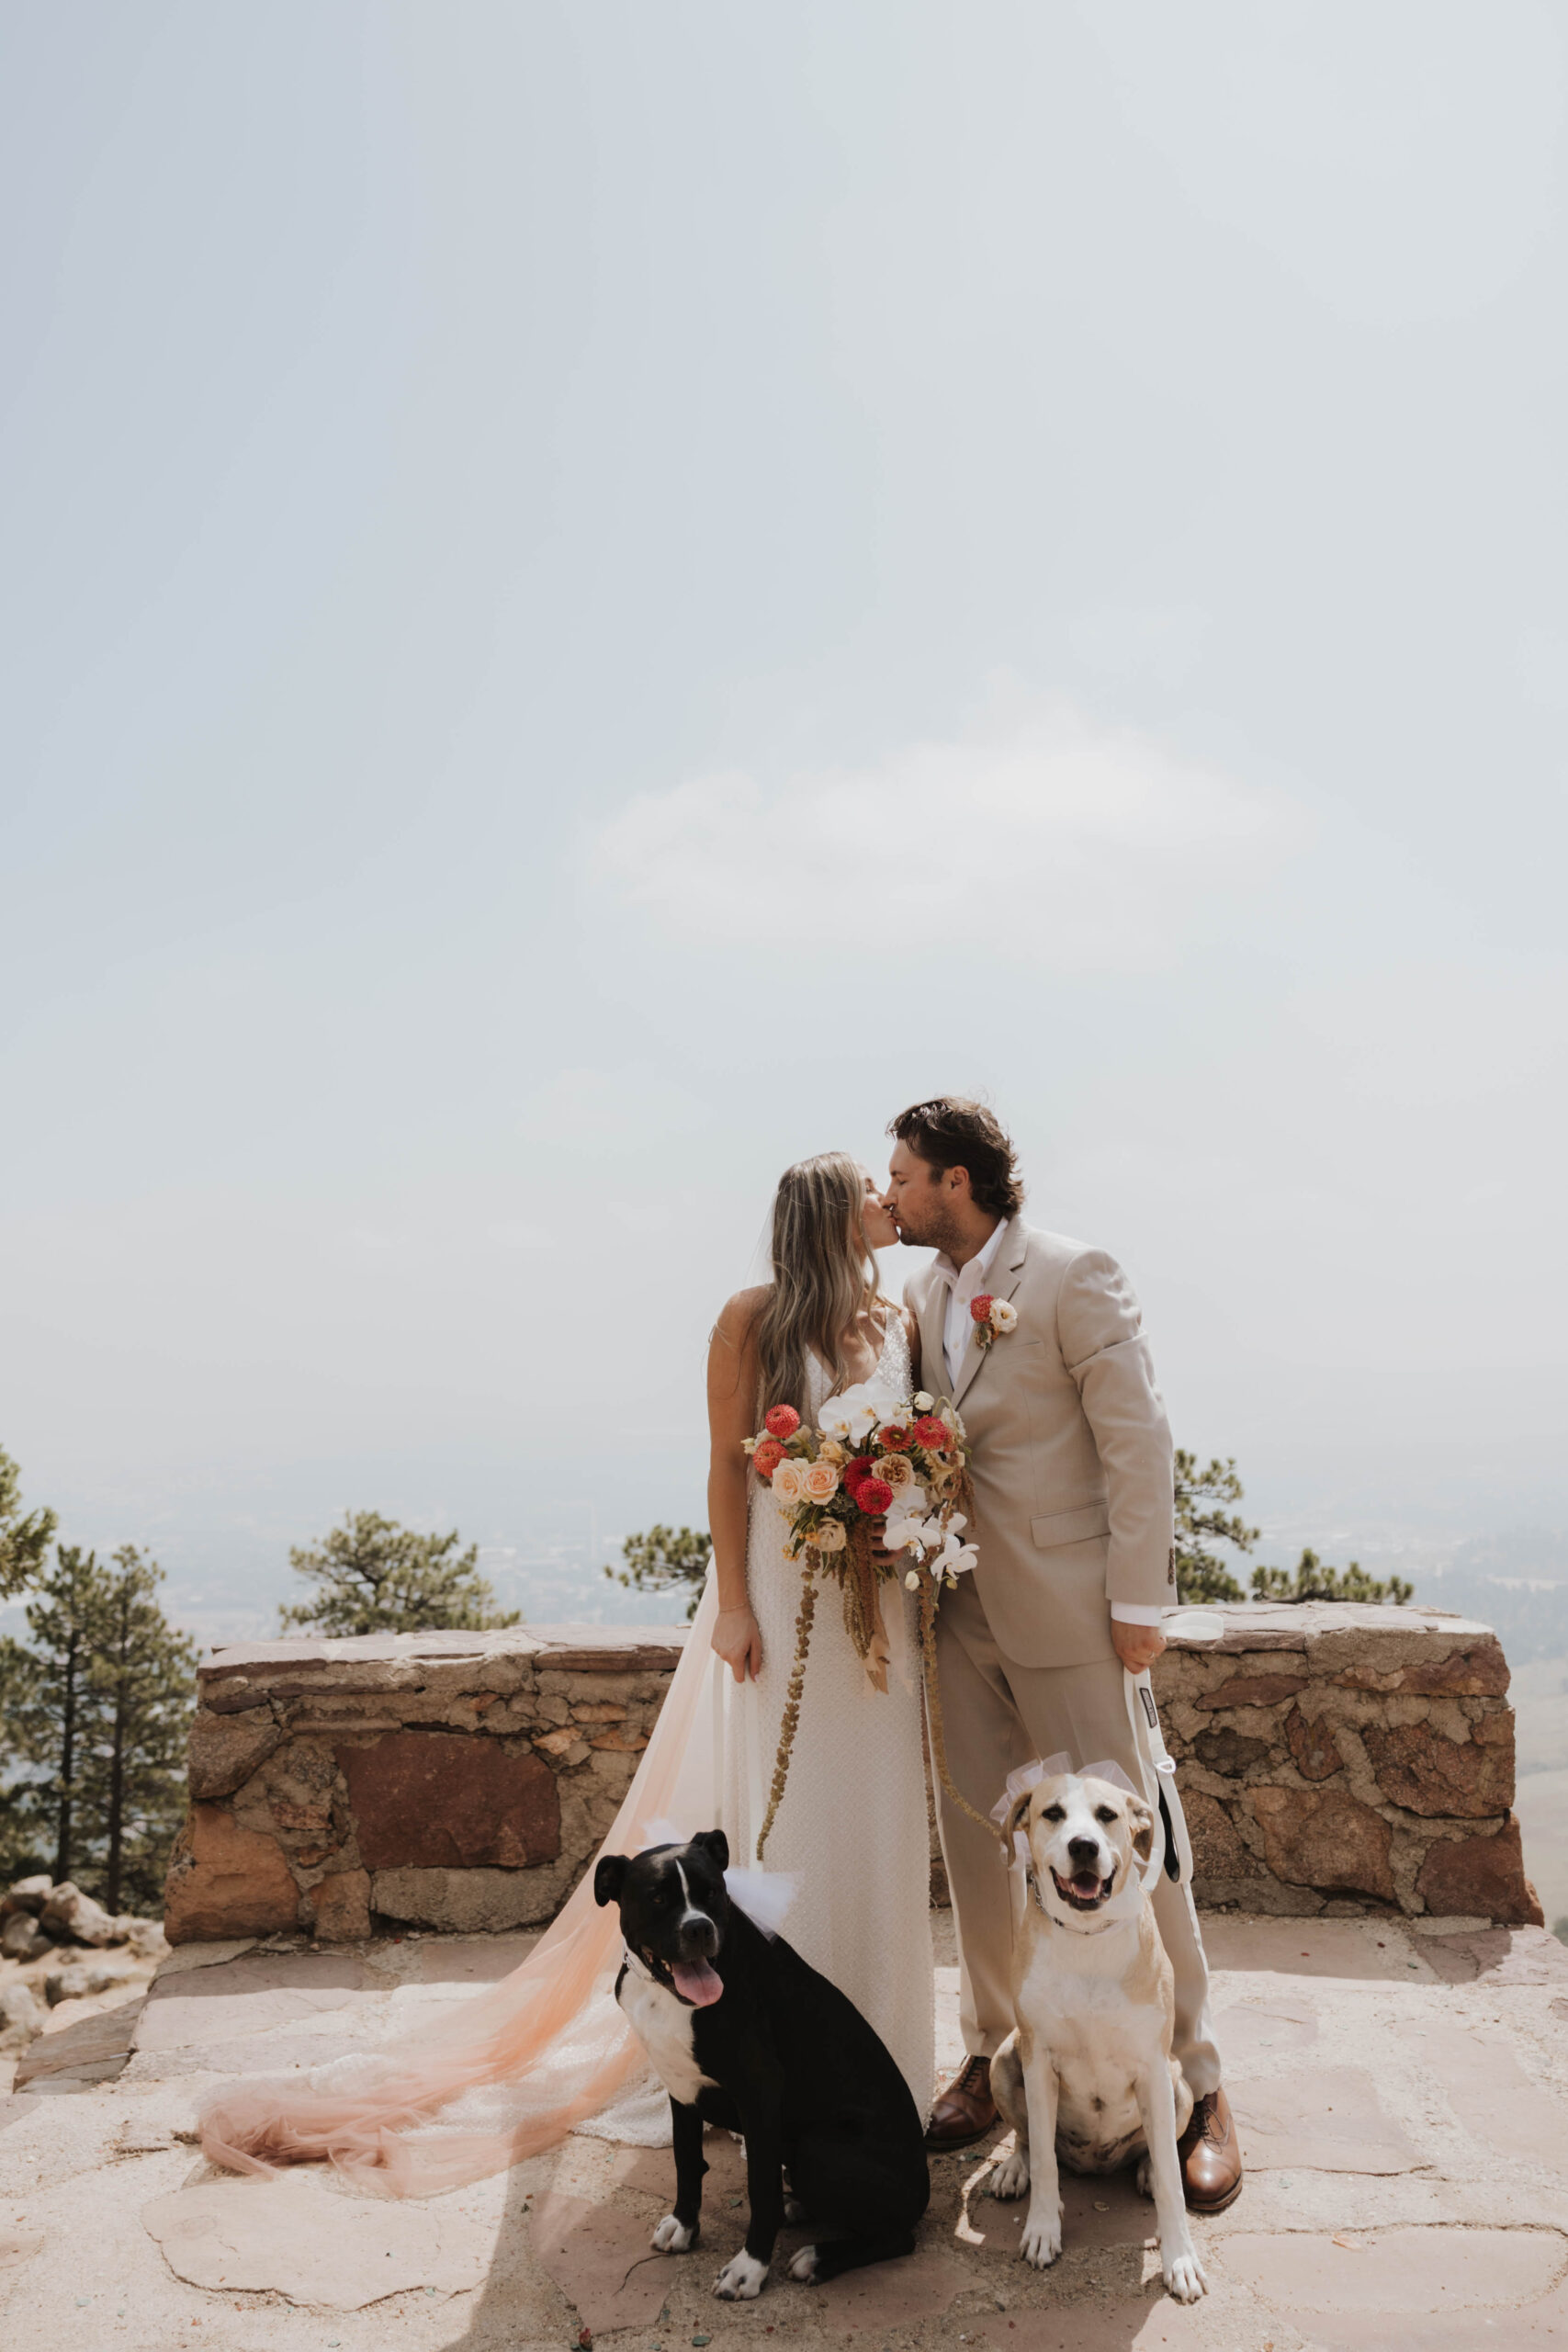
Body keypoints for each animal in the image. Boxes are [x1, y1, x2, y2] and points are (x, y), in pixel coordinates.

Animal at [594, 1815, 926, 2295]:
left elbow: (758, 2186)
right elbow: (686, 2161)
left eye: (712, 1892)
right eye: (658, 1897)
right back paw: (799, 2207)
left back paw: (819, 2257)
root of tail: (924, 2191)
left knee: (898, 2237)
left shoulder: (759, 2091)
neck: (665, 1995)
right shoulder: (680, 2086)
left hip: (820, 2149)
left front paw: (750, 2267)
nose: (698, 1928)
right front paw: (684, 2225)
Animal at [987, 1769, 1213, 2295]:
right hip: (1003, 2060)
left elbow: (1172, 2179)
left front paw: (1180, 2258)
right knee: (1028, 2139)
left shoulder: (1153, 2068)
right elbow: (1044, 2160)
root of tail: (1096, 2162)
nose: (1084, 1846)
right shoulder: (1037, 2061)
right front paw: (1043, 2229)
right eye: (1052, 1813)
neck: (1085, 1935)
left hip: (1179, 2083)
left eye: (1107, 1815)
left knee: (1157, 2148)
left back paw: (1145, 2169)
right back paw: (1014, 2170)